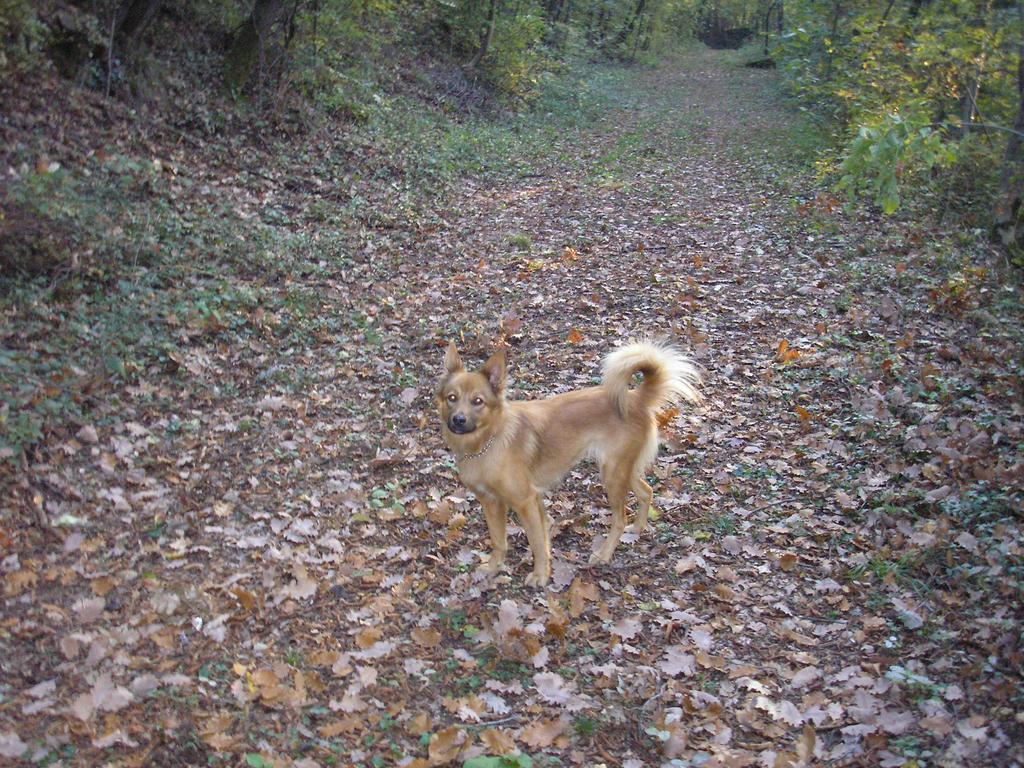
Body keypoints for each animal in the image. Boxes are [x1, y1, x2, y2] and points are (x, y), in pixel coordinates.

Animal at [436, 339, 700, 585]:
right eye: (452, 398)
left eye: (478, 401)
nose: (458, 420)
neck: (488, 441)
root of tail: (635, 397)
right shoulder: (491, 502)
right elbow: (500, 540)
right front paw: (493, 568)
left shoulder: (526, 501)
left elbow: (537, 543)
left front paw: (540, 575)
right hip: (622, 468)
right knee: (646, 491)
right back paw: (636, 528)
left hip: (613, 475)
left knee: (619, 518)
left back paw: (604, 554)